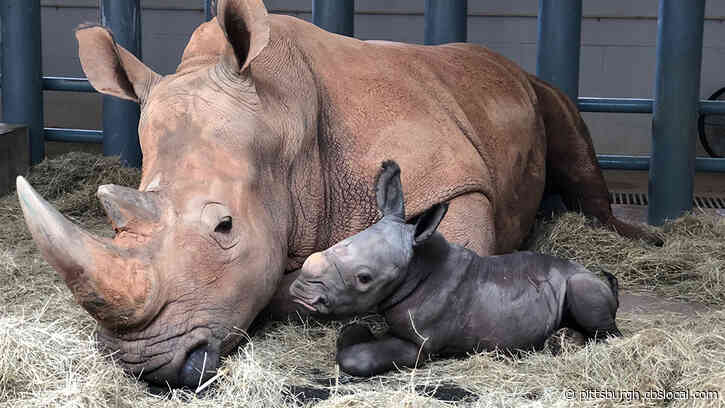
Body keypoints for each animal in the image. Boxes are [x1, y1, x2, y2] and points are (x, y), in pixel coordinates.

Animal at [290, 161, 621, 377]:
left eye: (364, 278)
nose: (300, 291)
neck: (416, 267)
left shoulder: (422, 345)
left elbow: (356, 358)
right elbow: (351, 333)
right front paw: (359, 330)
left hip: (581, 282)